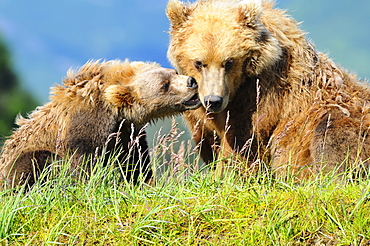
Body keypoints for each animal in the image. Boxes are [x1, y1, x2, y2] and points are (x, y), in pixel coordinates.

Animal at [0, 59, 199, 188]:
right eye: (164, 85)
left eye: (174, 72)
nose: (191, 81)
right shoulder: (85, 126)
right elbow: (83, 163)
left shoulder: (126, 132)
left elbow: (135, 159)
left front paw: (145, 181)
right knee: (32, 162)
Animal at [166, 0, 370, 178]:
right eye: (199, 62)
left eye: (229, 62)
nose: (213, 100)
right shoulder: (199, 110)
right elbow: (208, 141)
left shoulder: (261, 95)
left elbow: (241, 145)